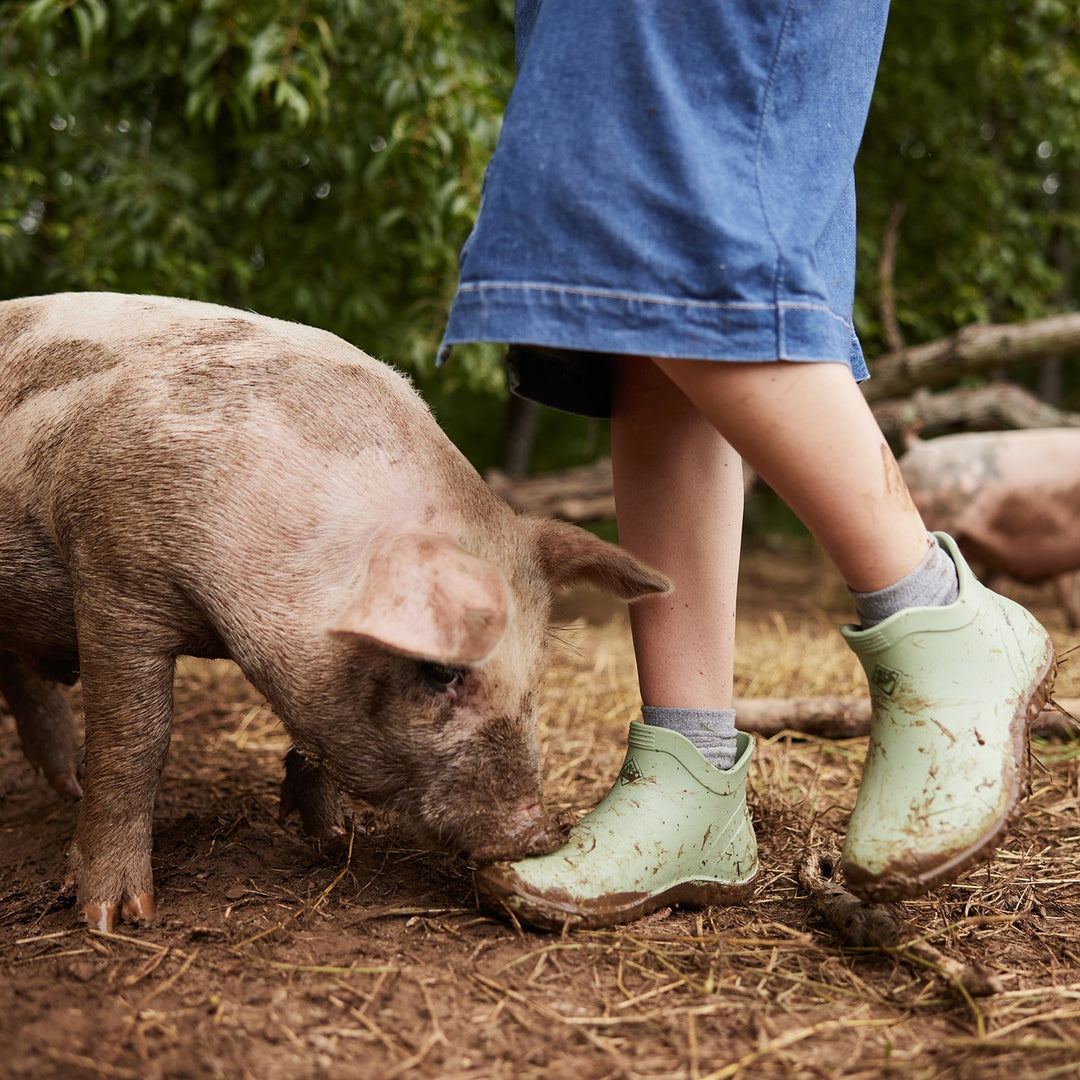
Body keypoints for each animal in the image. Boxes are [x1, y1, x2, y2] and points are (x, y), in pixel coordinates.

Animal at [0, 291, 665, 933]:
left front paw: (337, 837)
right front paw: (116, 919)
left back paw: (66, 782)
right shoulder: (115, 580)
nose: (536, 833)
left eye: (538, 673)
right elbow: (134, 740)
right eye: (441, 671)